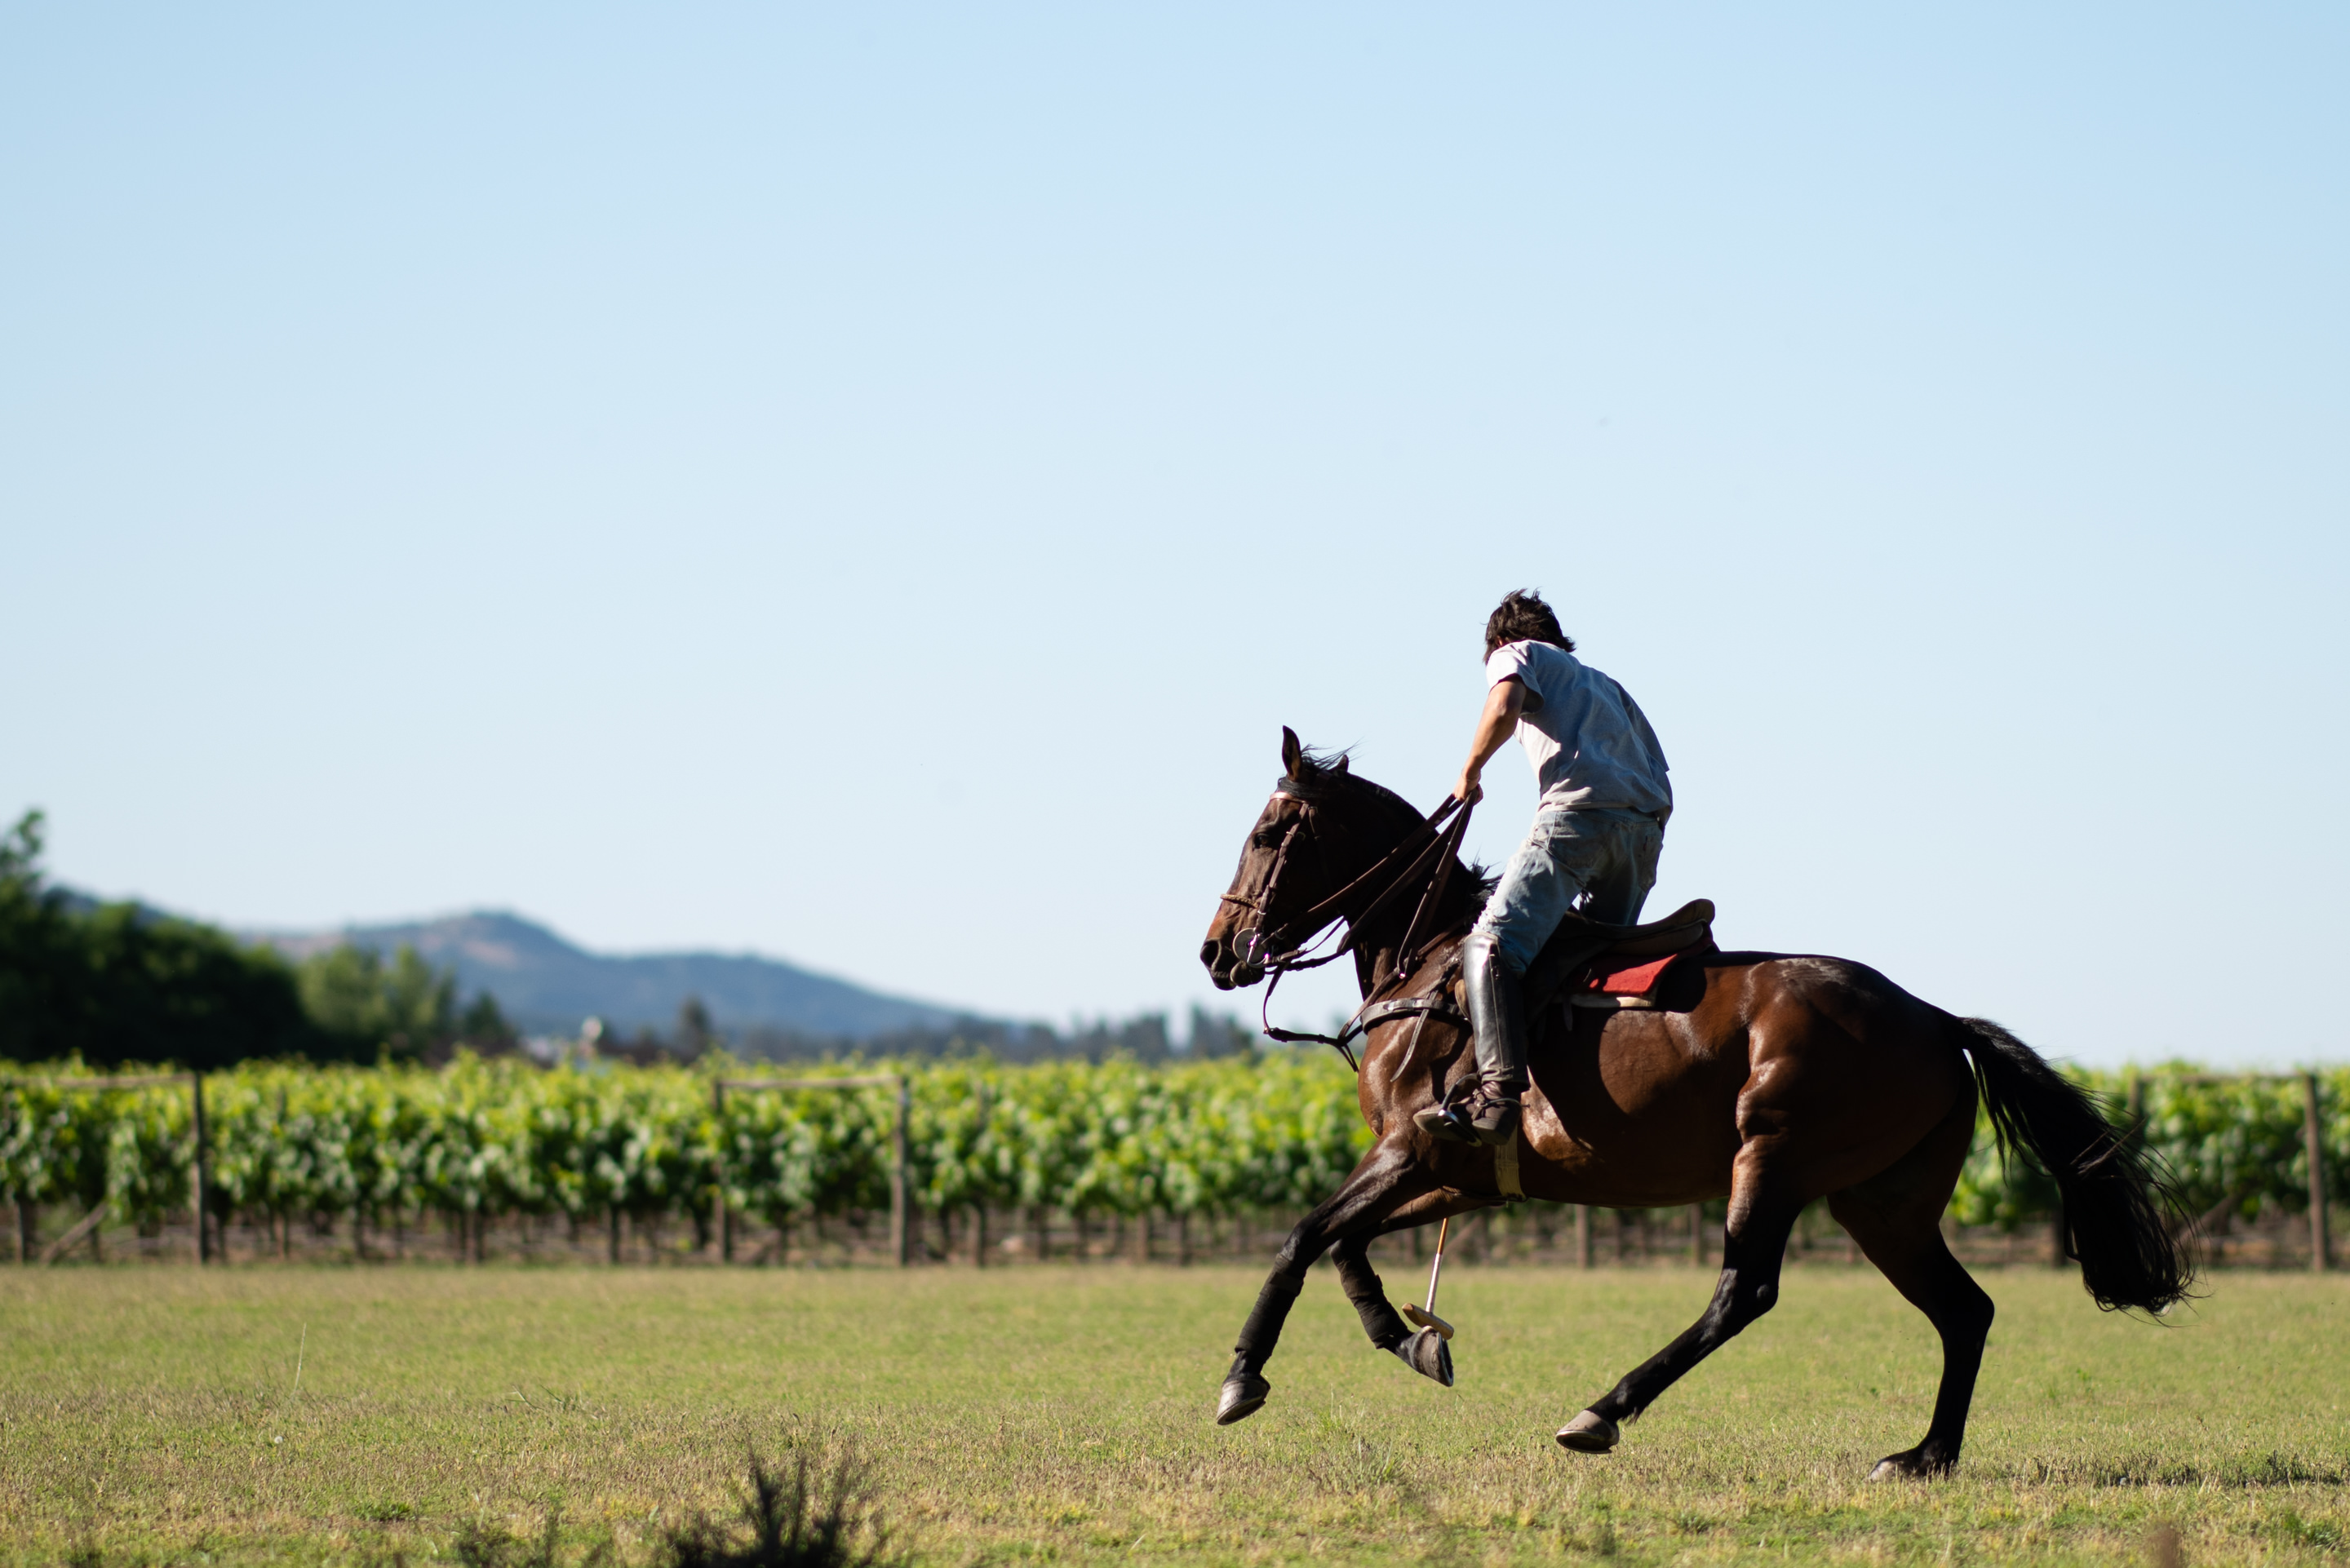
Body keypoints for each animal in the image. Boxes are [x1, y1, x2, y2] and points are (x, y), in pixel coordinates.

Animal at [1203, 729, 2190, 1476]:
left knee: (1743, 1291)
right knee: (1965, 1310)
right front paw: (1410, 1339)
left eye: (1270, 830)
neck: (1432, 959)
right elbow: (1347, 1245)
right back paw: (1925, 1456)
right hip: (1883, 1202)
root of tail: (1937, 1018)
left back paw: (1603, 1410)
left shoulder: (1407, 1147)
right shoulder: (1459, 1174)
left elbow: (1302, 1237)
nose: (1217, 950)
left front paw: (1242, 1376)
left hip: (1774, 1158)